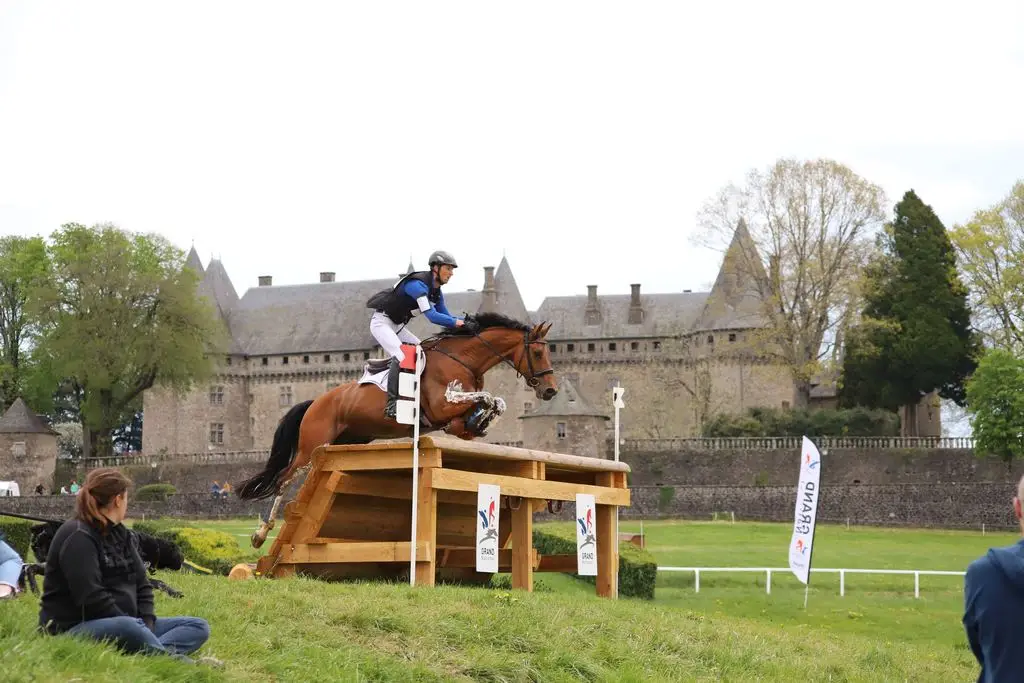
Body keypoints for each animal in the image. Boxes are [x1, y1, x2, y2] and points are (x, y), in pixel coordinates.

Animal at [235, 313, 557, 548]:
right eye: (538, 352)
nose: (551, 391)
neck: (463, 360)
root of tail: (316, 401)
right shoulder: (442, 406)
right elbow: (486, 397)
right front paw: (480, 415)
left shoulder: (453, 416)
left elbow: (496, 402)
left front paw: (479, 422)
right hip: (310, 447)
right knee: (283, 480)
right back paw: (261, 534)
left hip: (349, 442)